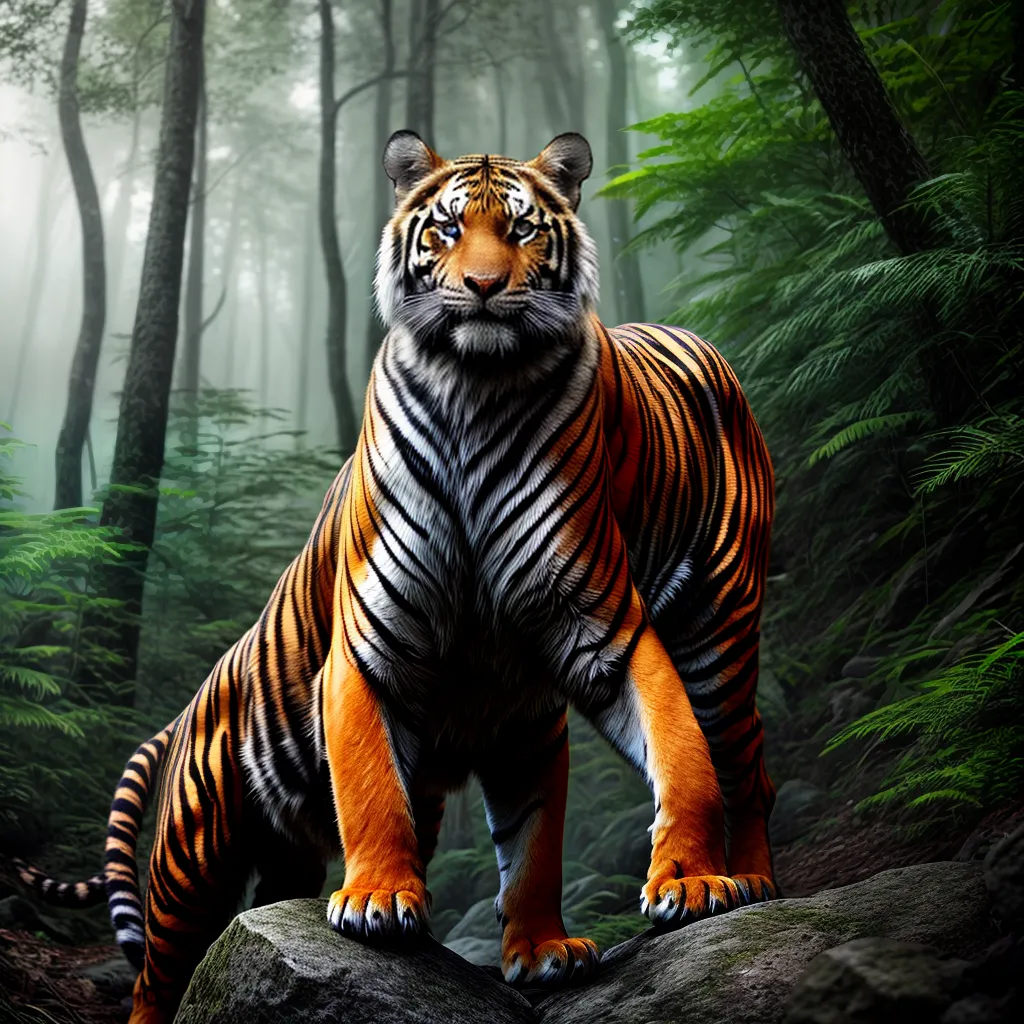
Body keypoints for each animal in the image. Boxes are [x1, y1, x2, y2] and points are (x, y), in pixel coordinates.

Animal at [15, 130, 777, 1023]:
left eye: (521, 230)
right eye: (446, 230)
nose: (483, 287)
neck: (478, 389)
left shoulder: (583, 649)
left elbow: (601, 799)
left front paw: (635, 906)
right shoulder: (369, 649)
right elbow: (376, 789)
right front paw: (380, 901)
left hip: (722, 625)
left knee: (744, 763)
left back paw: (752, 881)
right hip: (190, 857)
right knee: (160, 973)